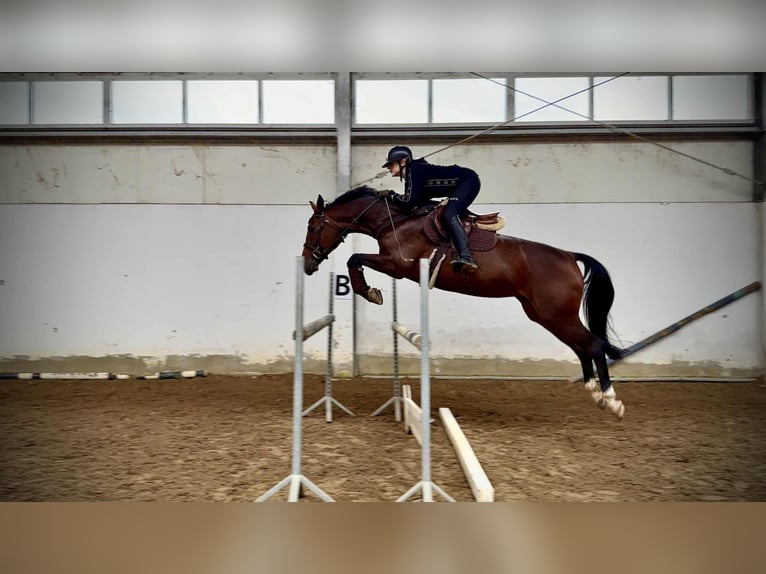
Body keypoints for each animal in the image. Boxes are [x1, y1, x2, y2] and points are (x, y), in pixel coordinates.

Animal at [302, 186, 627, 419]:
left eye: (313, 227)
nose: (307, 264)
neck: (395, 220)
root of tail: (570, 257)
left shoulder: (398, 265)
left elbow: (354, 259)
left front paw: (368, 291)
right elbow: (355, 260)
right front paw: (368, 290)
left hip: (557, 315)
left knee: (592, 344)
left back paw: (611, 400)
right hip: (545, 315)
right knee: (581, 346)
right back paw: (594, 392)